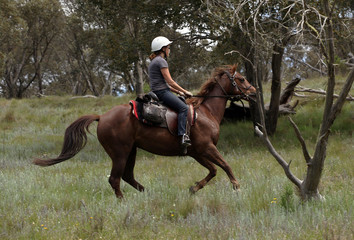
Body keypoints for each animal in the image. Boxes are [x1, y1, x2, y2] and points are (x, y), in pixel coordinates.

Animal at [33, 64, 256, 198]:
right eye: (242, 79)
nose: (254, 92)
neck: (206, 111)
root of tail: (102, 117)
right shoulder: (206, 148)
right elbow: (225, 165)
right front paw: (236, 186)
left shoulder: (196, 152)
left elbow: (213, 170)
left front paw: (194, 188)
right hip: (120, 153)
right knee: (115, 179)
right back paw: (123, 202)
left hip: (131, 151)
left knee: (127, 177)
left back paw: (146, 193)